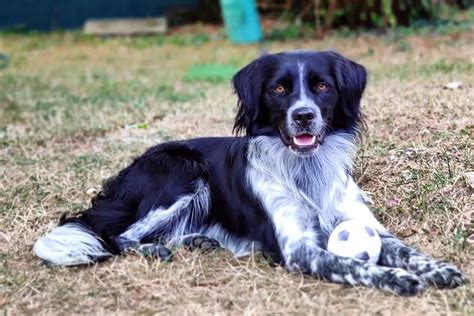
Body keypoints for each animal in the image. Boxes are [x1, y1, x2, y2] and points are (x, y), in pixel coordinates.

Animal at [34, 50, 466, 296]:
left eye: (322, 86)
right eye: (279, 89)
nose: (303, 116)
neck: (306, 172)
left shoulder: (360, 221)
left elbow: (406, 251)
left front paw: (438, 268)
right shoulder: (297, 248)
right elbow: (353, 264)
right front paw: (395, 279)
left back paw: (195, 241)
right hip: (183, 171)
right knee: (117, 236)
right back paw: (155, 248)